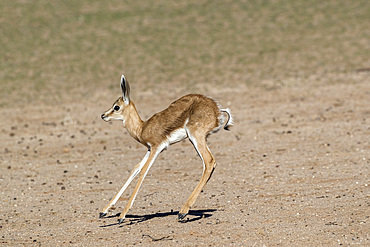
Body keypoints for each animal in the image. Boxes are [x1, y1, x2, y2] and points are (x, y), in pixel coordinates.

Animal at [98, 74, 231, 223]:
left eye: (116, 107)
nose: (103, 115)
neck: (142, 128)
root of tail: (217, 109)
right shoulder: (149, 149)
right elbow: (135, 169)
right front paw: (104, 211)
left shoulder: (156, 148)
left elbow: (143, 171)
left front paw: (122, 215)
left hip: (195, 137)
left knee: (209, 162)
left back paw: (183, 212)